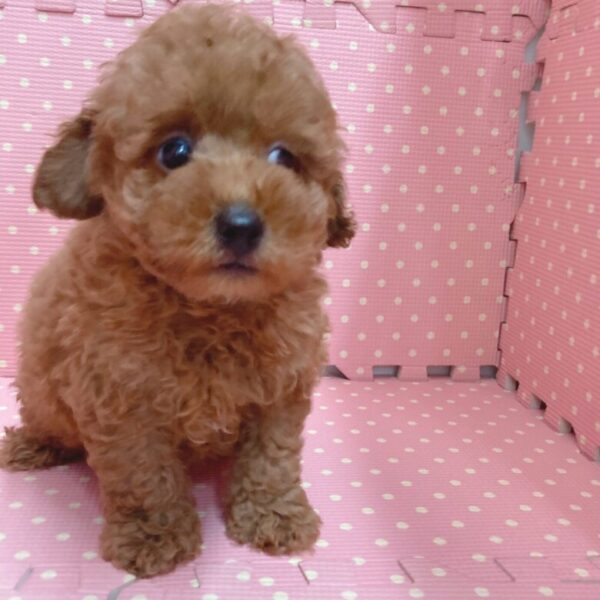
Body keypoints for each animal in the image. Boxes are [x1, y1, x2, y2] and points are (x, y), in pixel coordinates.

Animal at [0, 4, 354, 578]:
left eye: (284, 157)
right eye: (175, 151)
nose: (241, 225)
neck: (211, 308)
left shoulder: (283, 386)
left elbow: (273, 456)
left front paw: (273, 515)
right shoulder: (121, 398)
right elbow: (144, 473)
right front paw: (153, 535)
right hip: (40, 387)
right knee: (43, 416)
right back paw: (33, 446)